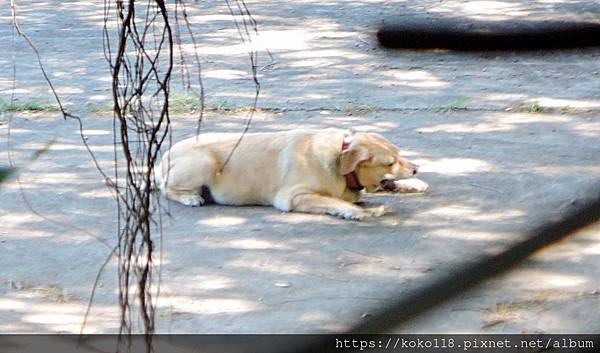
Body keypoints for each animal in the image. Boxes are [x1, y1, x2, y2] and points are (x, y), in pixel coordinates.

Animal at [155, 128, 426, 219]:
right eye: (390, 163)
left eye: (399, 154)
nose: (416, 168)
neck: (339, 159)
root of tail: (162, 159)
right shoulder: (293, 196)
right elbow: (333, 200)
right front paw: (353, 211)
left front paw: (414, 184)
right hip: (206, 162)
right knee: (166, 189)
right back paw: (190, 197)